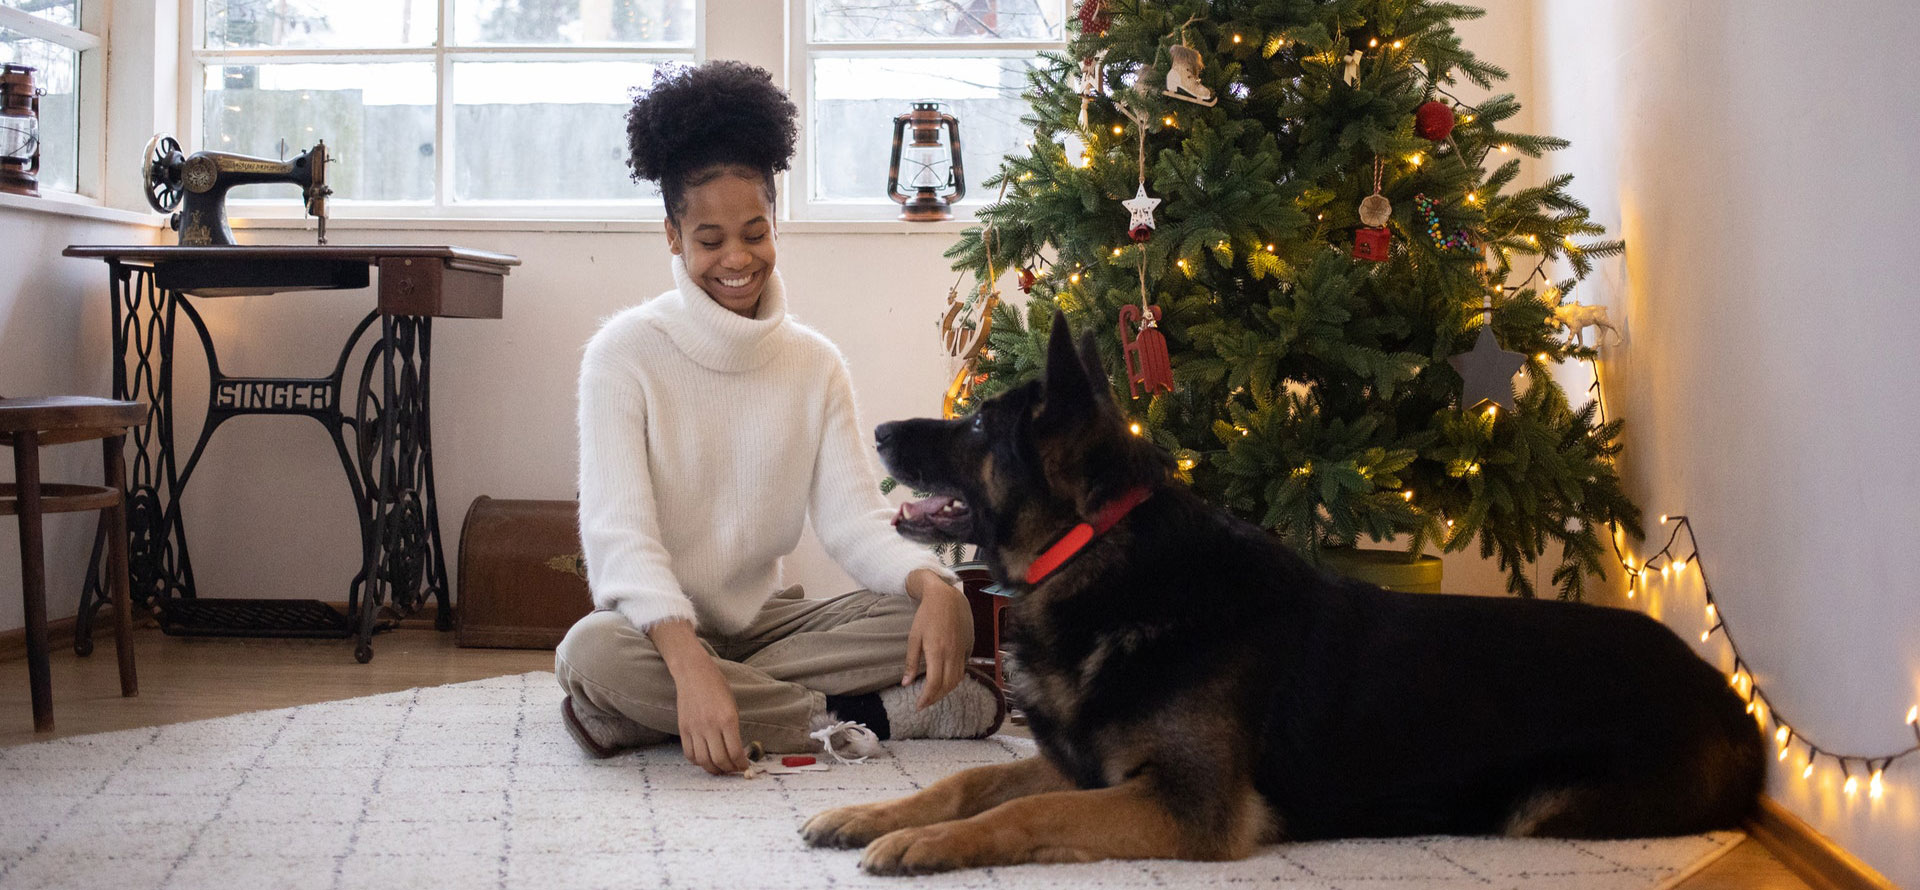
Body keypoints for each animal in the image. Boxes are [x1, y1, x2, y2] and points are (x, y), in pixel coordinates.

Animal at [798, 312, 1766, 874]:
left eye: (974, 426)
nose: (876, 432)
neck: (1102, 557)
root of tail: (1732, 694)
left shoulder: (1181, 807)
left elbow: (1026, 811)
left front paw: (926, 845)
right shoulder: (1088, 765)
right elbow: (968, 784)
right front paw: (876, 813)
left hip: (1544, 809)